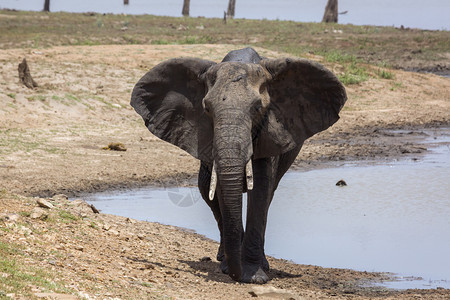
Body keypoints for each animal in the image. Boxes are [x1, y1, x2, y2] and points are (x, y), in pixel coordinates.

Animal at [131, 47, 348, 284]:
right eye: (207, 108)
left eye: (257, 107)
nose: (237, 274)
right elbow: (220, 189)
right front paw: (231, 268)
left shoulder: (269, 130)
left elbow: (261, 189)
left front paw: (254, 276)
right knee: (205, 188)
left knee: (269, 193)